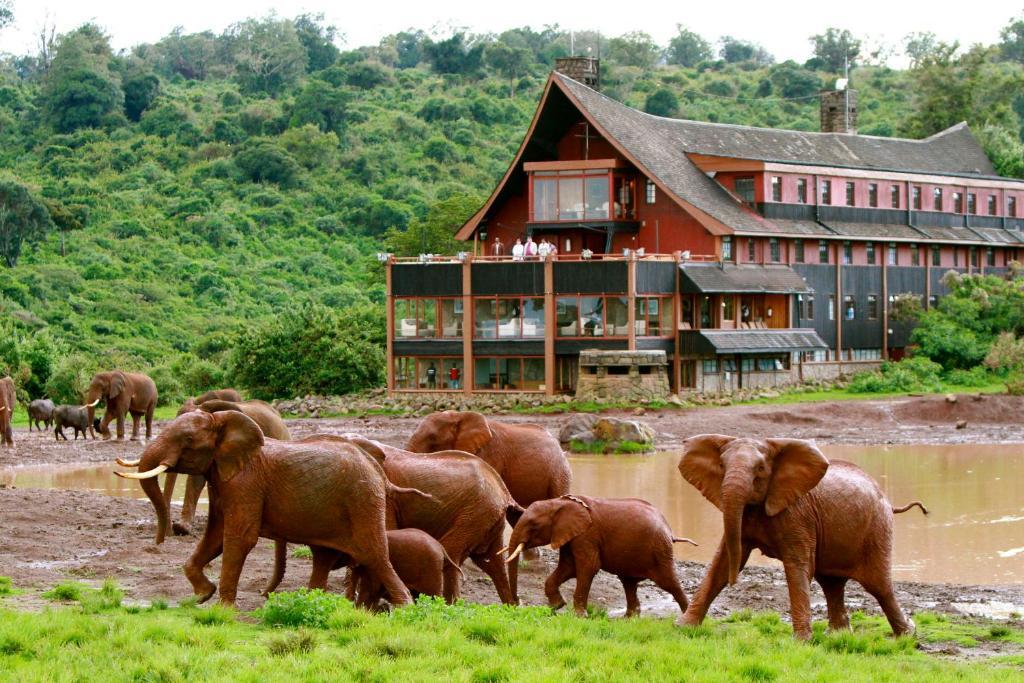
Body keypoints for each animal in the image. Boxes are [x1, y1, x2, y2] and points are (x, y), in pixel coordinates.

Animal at [505, 493, 696, 618]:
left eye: (533, 525)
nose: (517, 603)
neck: (559, 502)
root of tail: (669, 529)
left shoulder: (586, 535)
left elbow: (588, 567)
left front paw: (580, 616)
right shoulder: (570, 536)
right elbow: (568, 568)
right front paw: (556, 606)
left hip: (659, 550)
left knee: (668, 582)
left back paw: (687, 618)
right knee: (629, 583)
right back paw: (629, 619)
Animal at [679, 436, 929, 638]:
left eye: (760, 468)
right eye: (721, 466)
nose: (735, 583)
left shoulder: (798, 515)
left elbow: (798, 565)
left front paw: (800, 642)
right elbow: (721, 563)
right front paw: (683, 628)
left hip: (877, 528)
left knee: (879, 586)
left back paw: (907, 634)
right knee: (831, 583)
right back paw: (837, 636)